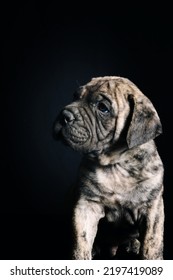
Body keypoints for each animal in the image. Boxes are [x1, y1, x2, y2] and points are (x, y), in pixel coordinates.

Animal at [53, 76, 164, 260]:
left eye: (103, 108)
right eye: (75, 96)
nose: (64, 115)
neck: (117, 165)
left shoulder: (153, 208)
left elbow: (152, 243)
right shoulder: (86, 206)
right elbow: (81, 241)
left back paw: (133, 244)